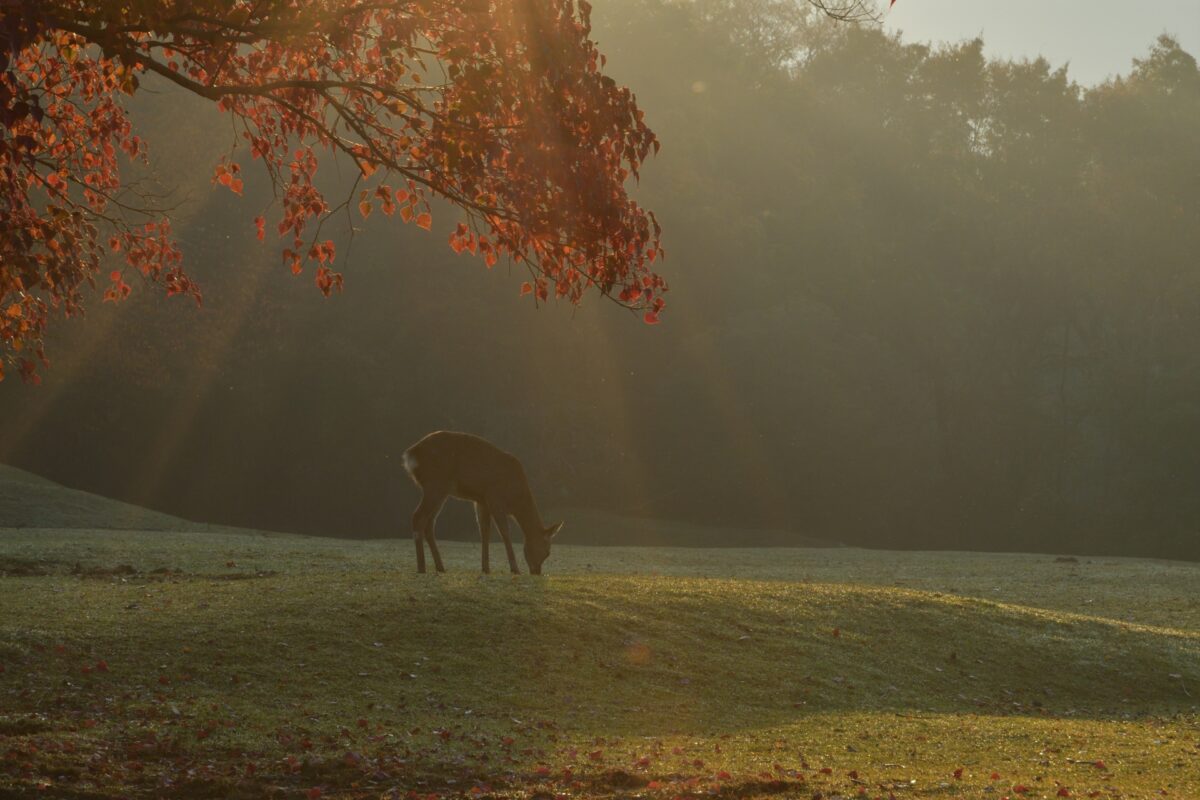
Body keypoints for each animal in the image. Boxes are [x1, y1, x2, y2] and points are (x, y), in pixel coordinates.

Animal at [400, 434, 564, 573]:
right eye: (547, 551)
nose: (536, 572)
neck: (516, 500)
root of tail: (410, 455)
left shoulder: (481, 501)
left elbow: (484, 532)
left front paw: (485, 568)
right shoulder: (495, 498)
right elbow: (504, 531)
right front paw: (515, 568)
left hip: (441, 490)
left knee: (429, 522)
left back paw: (440, 567)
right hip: (435, 483)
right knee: (418, 516)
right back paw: (421, 567)